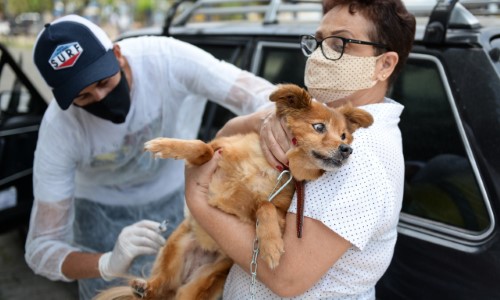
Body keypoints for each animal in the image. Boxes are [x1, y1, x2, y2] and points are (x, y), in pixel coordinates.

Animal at [94, 84, 372, 300]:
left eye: (344, 135)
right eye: (319, 127)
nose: (347, 149)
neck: (267, 167)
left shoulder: (276, 213)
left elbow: (264, 205)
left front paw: (271, 244)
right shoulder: (215, 150)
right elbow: (201, 147)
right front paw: (166, 145)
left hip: (200, 281)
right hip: (175, 248)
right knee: (160, 285)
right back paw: (145, 287)